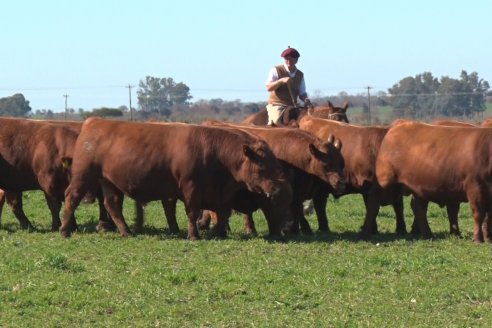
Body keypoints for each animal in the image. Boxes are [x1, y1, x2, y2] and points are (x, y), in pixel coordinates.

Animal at [59, 116, 286, 240]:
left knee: (112, 204)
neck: (214, 153)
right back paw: (64, 230)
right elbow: (193, 212)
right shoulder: (190, 187)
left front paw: (218, 232)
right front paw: (194, 235)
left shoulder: (218, 194)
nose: (277, 189)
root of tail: (94, 122)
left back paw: (126, 232)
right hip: (83, 175)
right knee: (71, 197)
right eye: (263, 165)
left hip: (108, 181)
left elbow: (221, 212)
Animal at [200, 121, 346, 234]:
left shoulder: (297, 193)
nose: (341, 183)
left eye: (342, 163)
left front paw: (301, 229)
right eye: (326, 164)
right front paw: (295, 229)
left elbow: (297, 210)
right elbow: (295, 210)